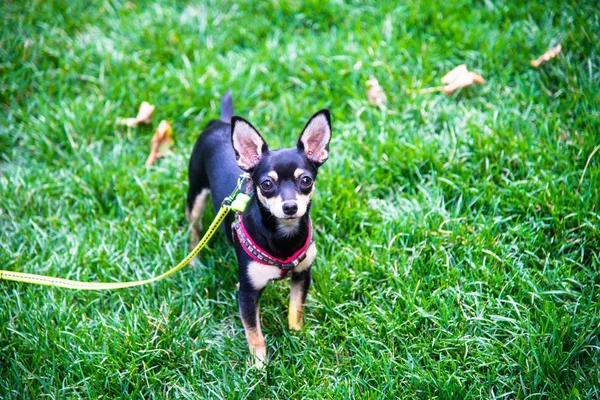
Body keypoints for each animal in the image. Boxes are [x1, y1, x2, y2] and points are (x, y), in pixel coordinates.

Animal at [185, 90, 330, 366]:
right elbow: (254, 332)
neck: (284, 236)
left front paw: (297, 335)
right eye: (266, 184)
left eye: (306, 180)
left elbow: (296, 308)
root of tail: (221, 123)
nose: (290, 207)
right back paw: (193, 261)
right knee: (194, 231)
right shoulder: (248, 297)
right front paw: (259, 365)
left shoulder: (302, 275)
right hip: (195, 195)